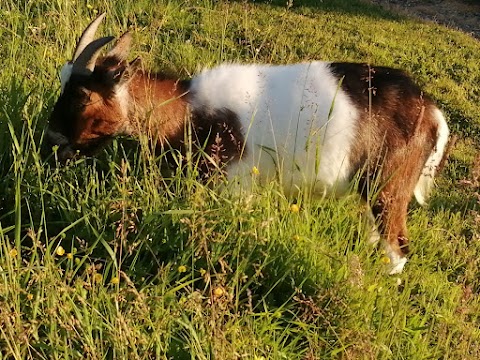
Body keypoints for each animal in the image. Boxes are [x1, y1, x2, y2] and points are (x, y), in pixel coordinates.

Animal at [46, 13, 450, 272]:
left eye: (81, 96)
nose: (52, 142)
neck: (190, 111)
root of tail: (432, 112)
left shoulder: (235, 184)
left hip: (390, 186)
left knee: (397, 249)